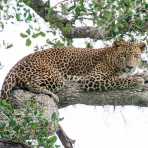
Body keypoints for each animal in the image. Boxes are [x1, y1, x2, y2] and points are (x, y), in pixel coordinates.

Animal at [0, 40, 146, 103]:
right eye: (123, 56)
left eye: (136, 56)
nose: (130, 67)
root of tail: (16, 65)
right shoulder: (92, 79)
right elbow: (118, 79)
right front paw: (137, 80)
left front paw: (142, 75)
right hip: (55, 76)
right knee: (30, 84)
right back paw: (51, 94)